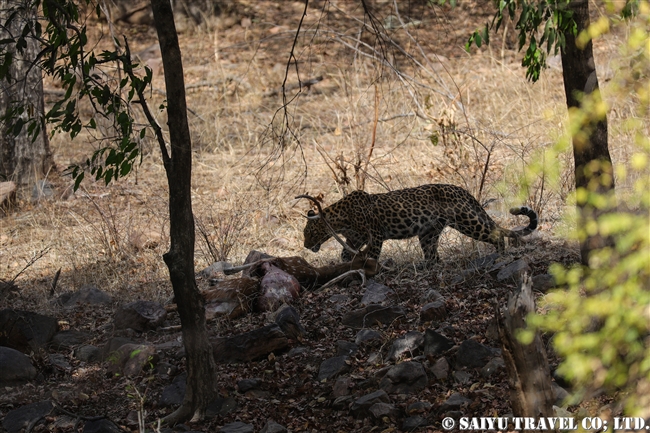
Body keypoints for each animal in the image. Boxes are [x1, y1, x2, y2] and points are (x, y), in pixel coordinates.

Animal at [298, 181, 536, 260]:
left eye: (309, 233)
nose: (306, 246)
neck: (339, 220)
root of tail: (461, 189)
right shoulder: (354, 239)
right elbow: (345, 254)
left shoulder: (375, 236)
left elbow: (372, 256)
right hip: (428, 233)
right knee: (432, 255)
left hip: (466, 221)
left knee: (496, 235)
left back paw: (500, 255)